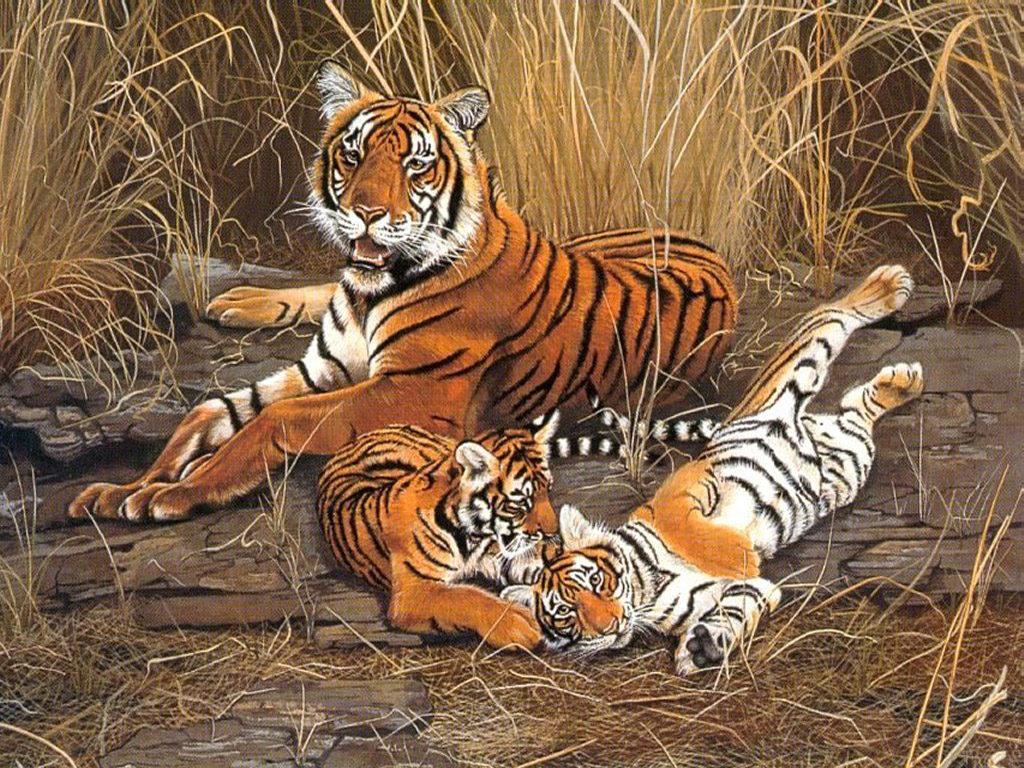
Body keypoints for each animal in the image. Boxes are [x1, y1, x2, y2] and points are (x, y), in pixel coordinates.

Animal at [67, 60, 736, 532]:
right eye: (353, 154)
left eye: (415, 165)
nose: (366, 213)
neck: (371, 292)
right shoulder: (322, 369)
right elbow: (209, 413)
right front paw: (129, 487)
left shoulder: (411, 392)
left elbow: (271, 422)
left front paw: (172, 493)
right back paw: (235, 300)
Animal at [316, 414, 560, 650]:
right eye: (520, 504)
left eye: (548, 490)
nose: (552, 532)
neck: (474, 533)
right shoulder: (413, 592)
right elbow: (465, 596)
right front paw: (517, 623)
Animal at [502, 265, 925, 674]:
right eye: (566, 613)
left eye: (595, 580)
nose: (611, 625)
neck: (647, 586)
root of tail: (816, 426)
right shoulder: (735, 592)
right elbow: (742, 605)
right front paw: (705, 646)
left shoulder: (684, 486)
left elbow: (694, 531)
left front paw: (740, 554)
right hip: (850, 463)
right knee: (857, 406)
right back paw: (900, 383)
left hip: (795, 376)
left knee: (827, 315)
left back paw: (891, 286)